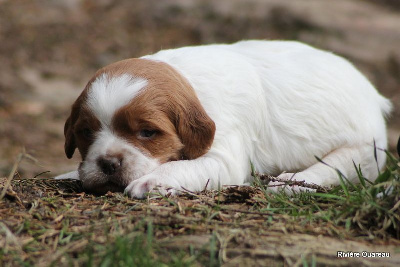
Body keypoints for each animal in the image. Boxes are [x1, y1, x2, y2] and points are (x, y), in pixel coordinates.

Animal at [54, 40, 392, 199]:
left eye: (148, 133)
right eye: (86, 132)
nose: (108, 164)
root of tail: (377, 97)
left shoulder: (223, 158)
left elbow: (181, 166)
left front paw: (151, 182)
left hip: (363, 153)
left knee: (329, 171)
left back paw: (288, 184)